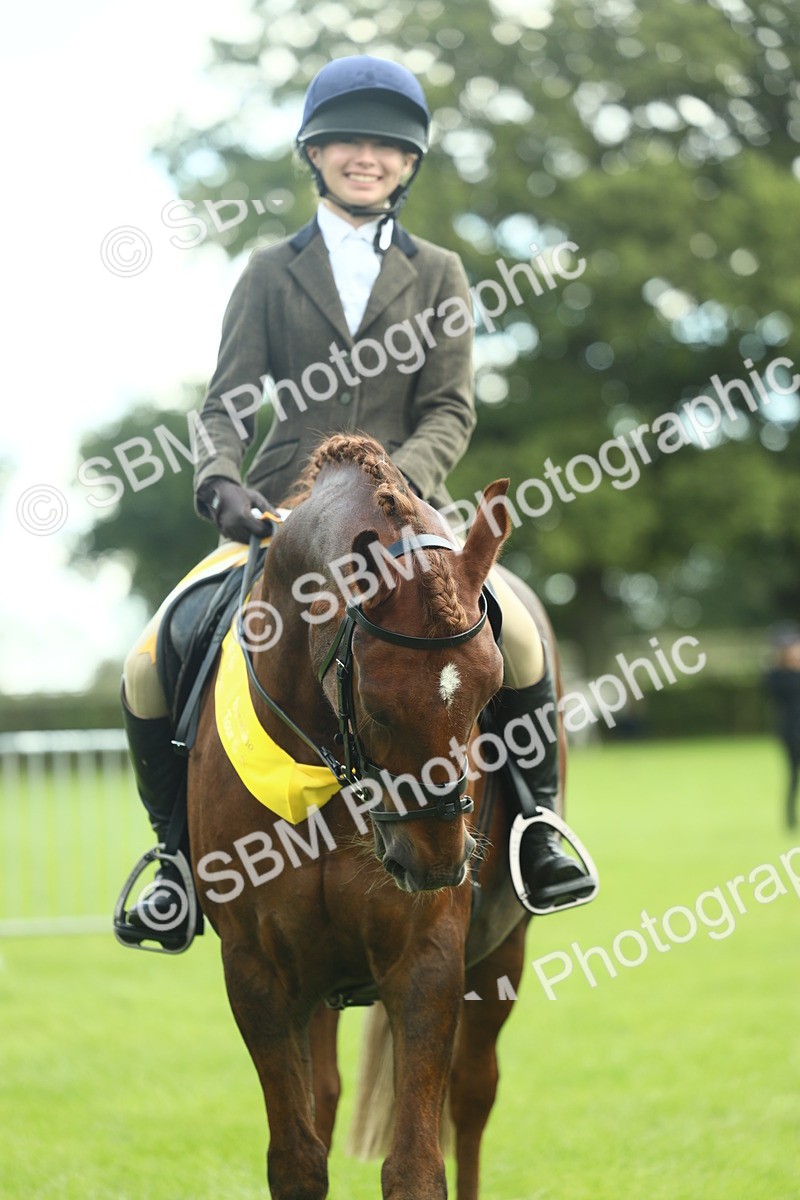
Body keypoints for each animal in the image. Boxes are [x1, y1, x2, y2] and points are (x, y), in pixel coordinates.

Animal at [187, 433, 567, 1200]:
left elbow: (417, 1164)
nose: (440, 864)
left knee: (472, 1095)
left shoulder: (427, 956)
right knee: (328, 1096)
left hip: (501, 951)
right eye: (377, 704)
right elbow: (297, 1159)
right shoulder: (256, 968)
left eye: (488, 695)